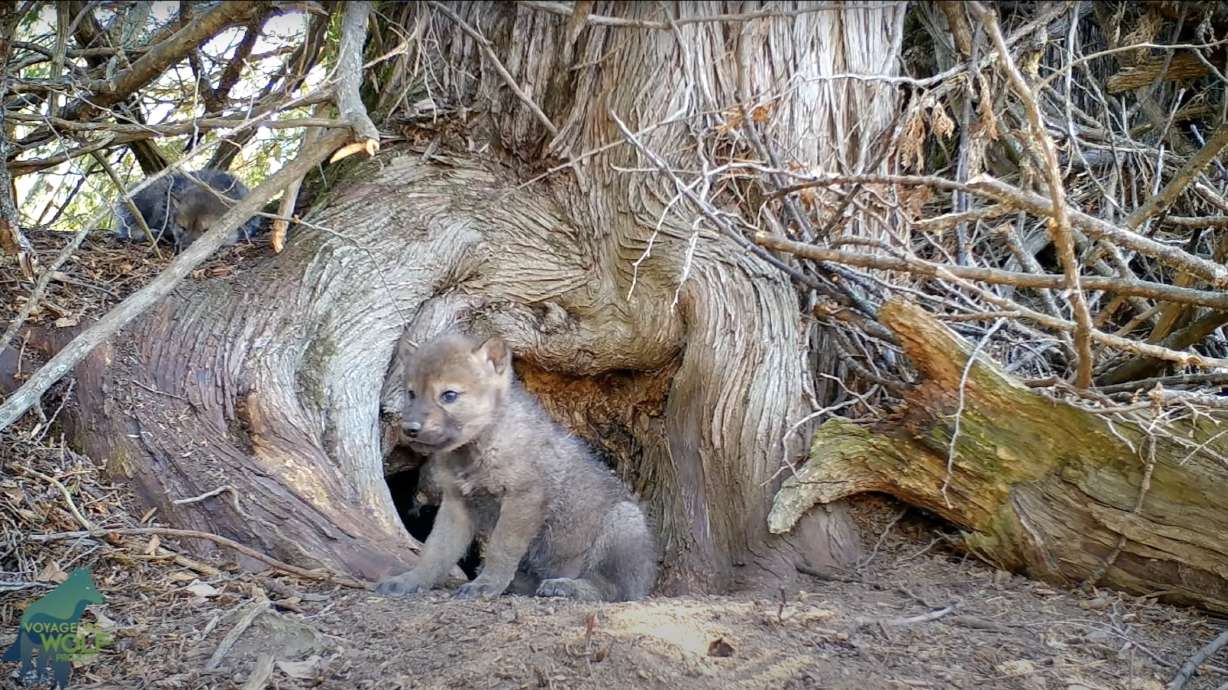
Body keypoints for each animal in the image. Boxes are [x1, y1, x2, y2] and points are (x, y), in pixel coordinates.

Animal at [375, 333, 657, 602]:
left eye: (449, 395)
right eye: (411, 394)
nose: (410, 429)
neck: (479, 448)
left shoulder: (523, 497)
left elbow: (501, 548)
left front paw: (486, 585)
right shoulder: (456, 502)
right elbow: (435, 550)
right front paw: (410, 580)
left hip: (623, 521)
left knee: (613, 589)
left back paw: (566, 586)